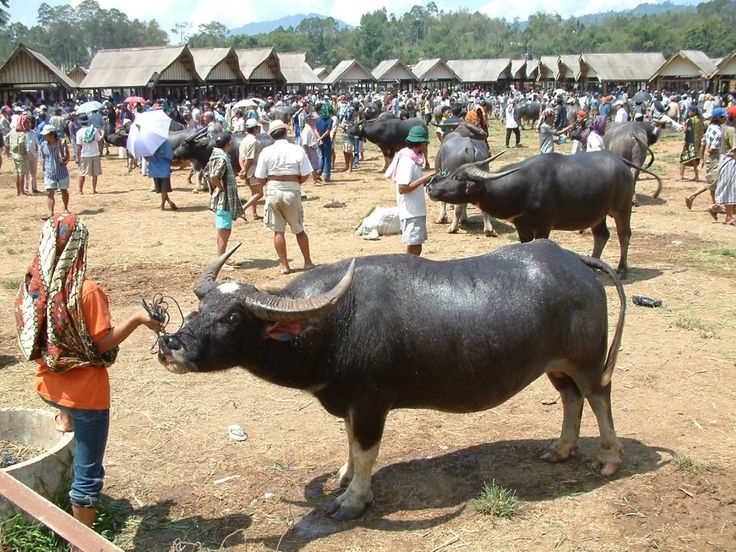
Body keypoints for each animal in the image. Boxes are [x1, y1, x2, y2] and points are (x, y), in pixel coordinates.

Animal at [158, 240, 625, 520]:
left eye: (233, 317)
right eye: (200, 308)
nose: (170, 344)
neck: (330, 328)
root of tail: (574, 259)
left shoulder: (370, 403)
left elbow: (366, 451)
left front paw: (352, 500)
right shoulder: (349, 403)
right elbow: (349, 443)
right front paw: (344, 476)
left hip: (587, 360)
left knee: (598, 395)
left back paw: (608, 458)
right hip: (555, 365)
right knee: (571, 398)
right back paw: (561, 450)